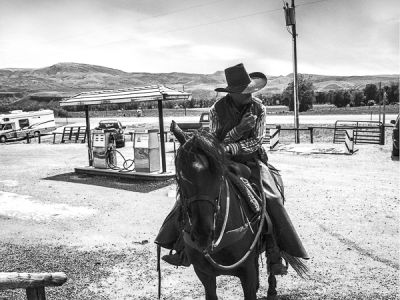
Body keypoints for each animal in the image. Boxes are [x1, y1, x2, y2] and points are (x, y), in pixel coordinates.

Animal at [171, 125, 278, 300]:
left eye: (219, 174)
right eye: (179, 177)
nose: (203, 233)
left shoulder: (247, 272)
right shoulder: (204, 274)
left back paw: (272, 289)